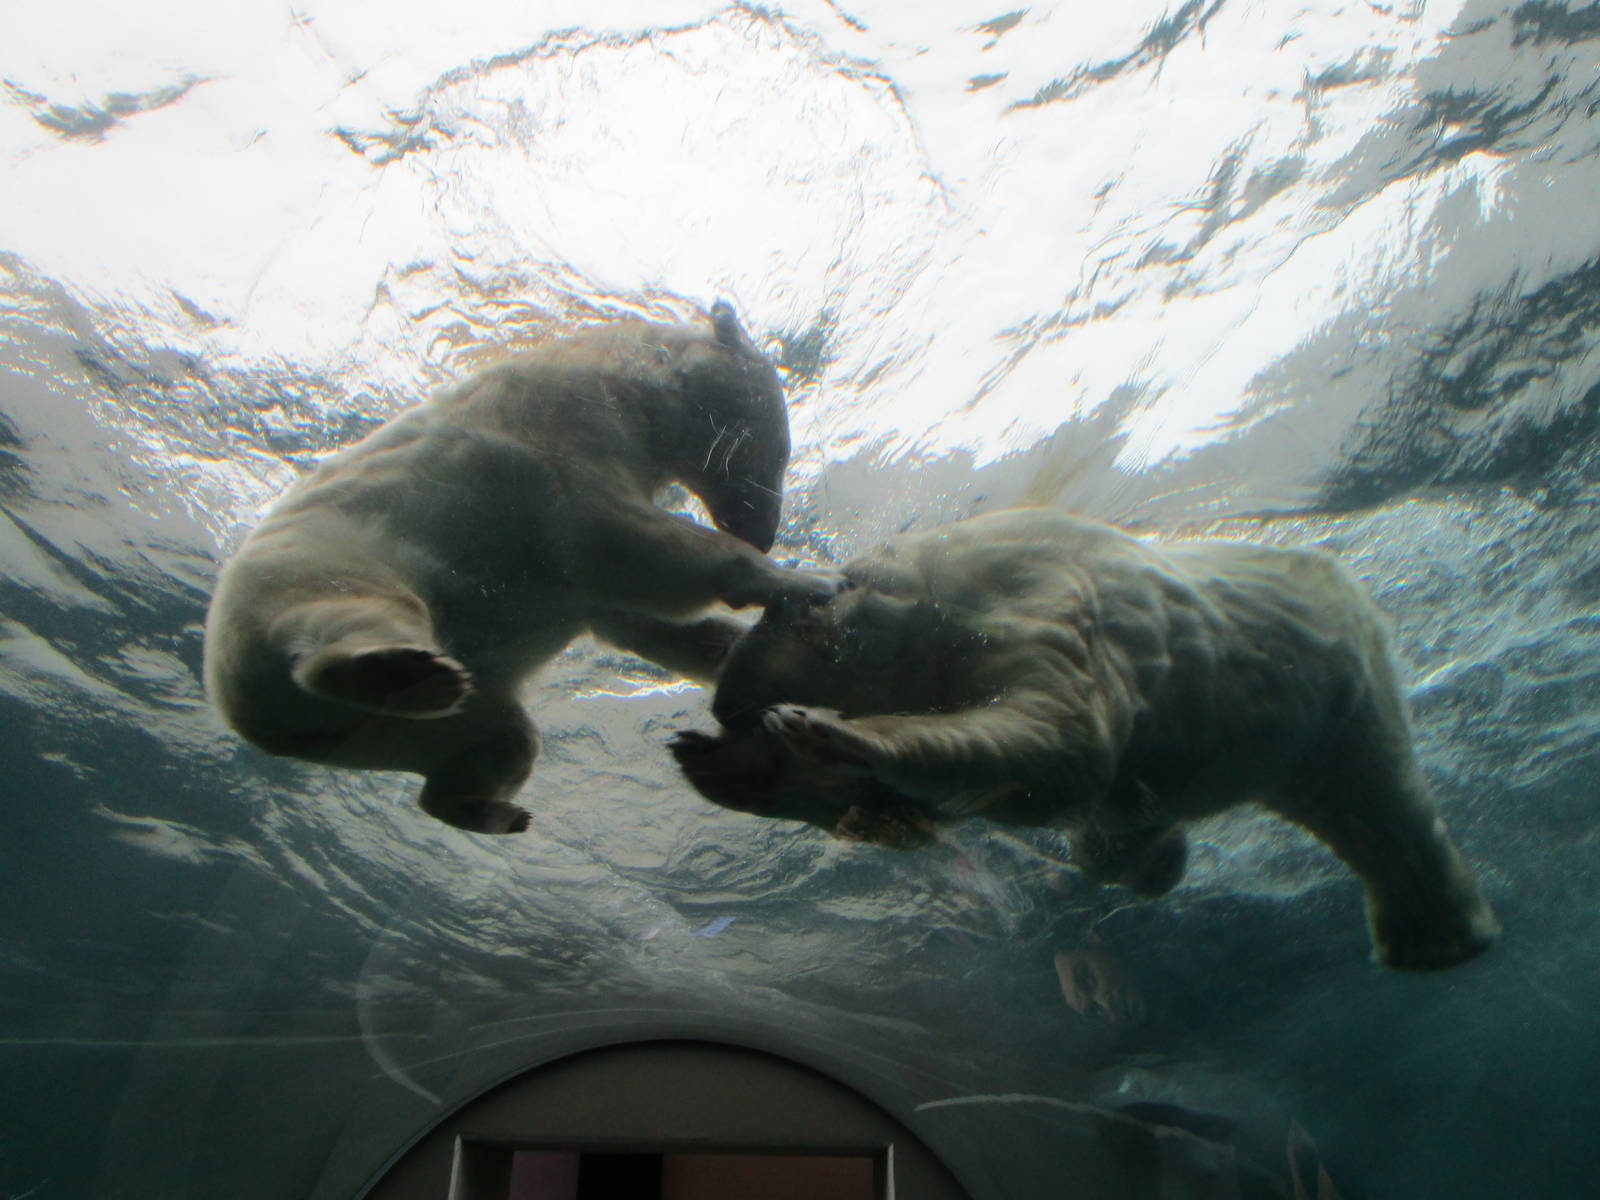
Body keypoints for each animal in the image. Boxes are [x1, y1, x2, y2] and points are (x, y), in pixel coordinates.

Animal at [204, 304, 837, 835]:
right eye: (776, 449)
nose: (763, 531)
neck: (626, 379)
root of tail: (254, 716)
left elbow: (625, 614)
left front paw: (751, 671)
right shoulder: (561, 430)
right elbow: (619, 538)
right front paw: (805, 579)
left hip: (436, 718)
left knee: (499, 741)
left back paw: (485, 807)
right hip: (316, 564)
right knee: (354, 614)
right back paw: (400, 674)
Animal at [670, 506, 1500, 970]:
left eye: (783, 614)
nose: (724, 701)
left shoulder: (1037, 603)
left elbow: (1060, 740)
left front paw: (827, 734)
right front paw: (729, 761)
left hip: (1331, 677)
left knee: (1378, 795)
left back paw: (1435, 933)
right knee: (1127, 834)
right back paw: (1149, 855)